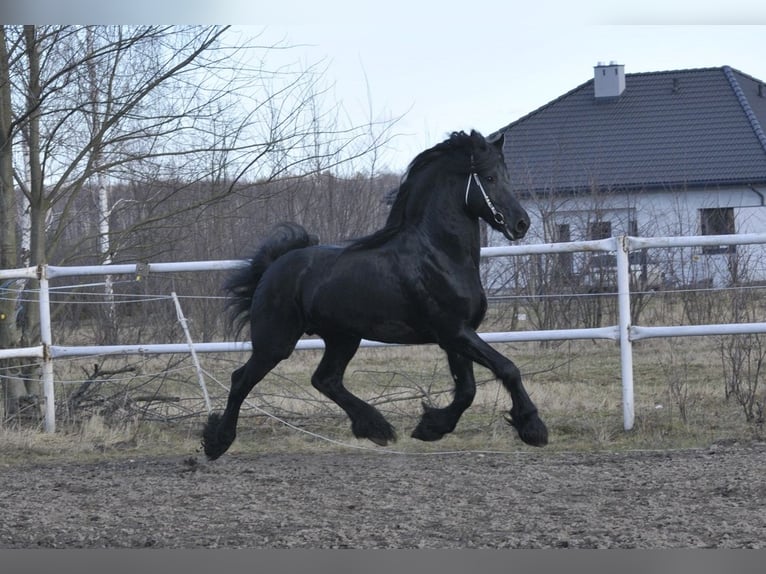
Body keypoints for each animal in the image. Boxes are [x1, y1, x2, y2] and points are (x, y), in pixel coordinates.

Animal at [204, 132, 548, 464]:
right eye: (489, 178)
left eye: (507, 176)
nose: (521, 223)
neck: (439, 254)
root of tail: (274, 267)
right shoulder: (454, 332)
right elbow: (507, 368)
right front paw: (534, 429)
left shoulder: (457, 335)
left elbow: (467, 390)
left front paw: (430, 428)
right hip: (276, 342)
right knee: (241, 380)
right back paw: (216, 443)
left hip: (343, 338)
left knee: (325, 379)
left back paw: (375, 427)